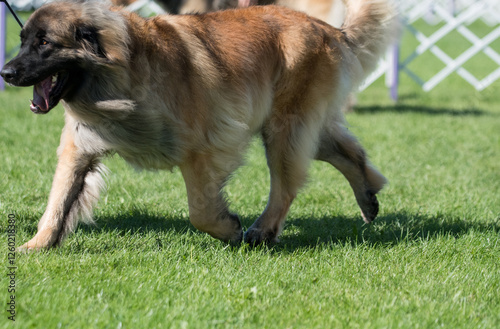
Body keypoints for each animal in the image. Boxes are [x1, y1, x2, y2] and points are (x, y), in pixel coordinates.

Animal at [1, 0, 396, 249]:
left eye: (45, 43)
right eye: (22, 42)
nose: (6, 72)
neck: (122, 72)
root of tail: (330, 29)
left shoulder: (202, 149)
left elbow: (201, 210)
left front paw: (229, 229)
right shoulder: (80, 145)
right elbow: (58, 202)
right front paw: (35, 247)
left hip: (285, 128)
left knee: (286, 186)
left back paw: (262, 230)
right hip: (298, 127)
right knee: (348, 153)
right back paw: (368, 197)